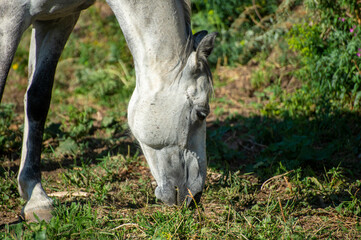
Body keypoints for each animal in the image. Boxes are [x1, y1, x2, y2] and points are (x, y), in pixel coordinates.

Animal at [0, 0, 217, 222]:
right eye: (202, 113)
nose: (196, 195)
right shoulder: (9, 19)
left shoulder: (58, 19)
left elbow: (38, 99)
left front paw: (36, 197)